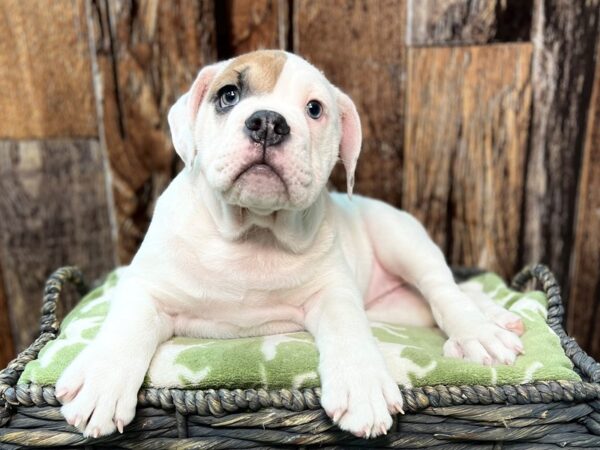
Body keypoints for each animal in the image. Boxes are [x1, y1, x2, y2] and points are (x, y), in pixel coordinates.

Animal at [56, 50, 524, 440]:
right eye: (228, 95)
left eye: (314, 109)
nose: (267, 121)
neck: (253, 232)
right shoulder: (147, 287)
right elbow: (126, 325)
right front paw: (101, 379)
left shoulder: (334, 291)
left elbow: (348, 328)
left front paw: (362, 382)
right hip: (397, 308)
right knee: (443, 300)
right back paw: (497, 315)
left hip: (401, 238)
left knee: (444, 290)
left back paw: (484, 332)